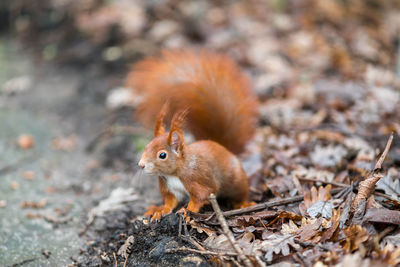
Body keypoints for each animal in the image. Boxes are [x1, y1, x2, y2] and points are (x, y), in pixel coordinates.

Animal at [128, 49, 260, 221]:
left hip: (237, 181)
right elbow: (169, 202)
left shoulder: (197, 180)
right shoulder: (169, 188)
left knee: (241, 193)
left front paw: (185, 211)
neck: (174, 174)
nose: (141, 165)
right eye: (146, 146)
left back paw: (243, 204)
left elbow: (199, 197)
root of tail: (223, 147)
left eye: (162, 155)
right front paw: (161, 211)